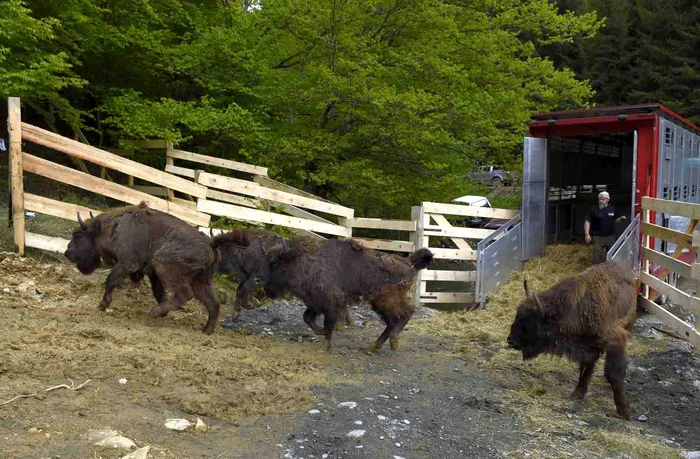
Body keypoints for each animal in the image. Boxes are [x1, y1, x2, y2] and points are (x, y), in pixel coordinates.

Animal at [65, 204, 221, 334]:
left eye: (78, 236)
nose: (67, 253)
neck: (113, 228)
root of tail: (210, 245)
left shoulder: (126, 263)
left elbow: (110, 280)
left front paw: (103, 304)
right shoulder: (152, 274)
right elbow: (158, 293)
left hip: (165, 268)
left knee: (185, 294)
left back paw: (154, 312)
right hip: (201, 281)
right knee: (213, 303)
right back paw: (206, 330)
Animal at [249, 237, 430, 356]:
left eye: (274, 263)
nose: (264, 286)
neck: (306, 263)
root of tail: (408, 262)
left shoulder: (331, 304)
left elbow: (328, 324)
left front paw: (327, 346)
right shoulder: (315, 303)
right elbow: (307, 318)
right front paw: (321, 333)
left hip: (384, 301)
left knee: (405, 313)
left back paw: (392, 343)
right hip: (379, 303)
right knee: (393, 321)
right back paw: (373, 348)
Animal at [506, 262, 636, 420]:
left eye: (528, 320)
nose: (510, 340)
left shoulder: (615, 342)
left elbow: (613, 374)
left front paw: (625, 412)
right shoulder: (588, 347)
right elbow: (585, 367)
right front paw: (577, 393)